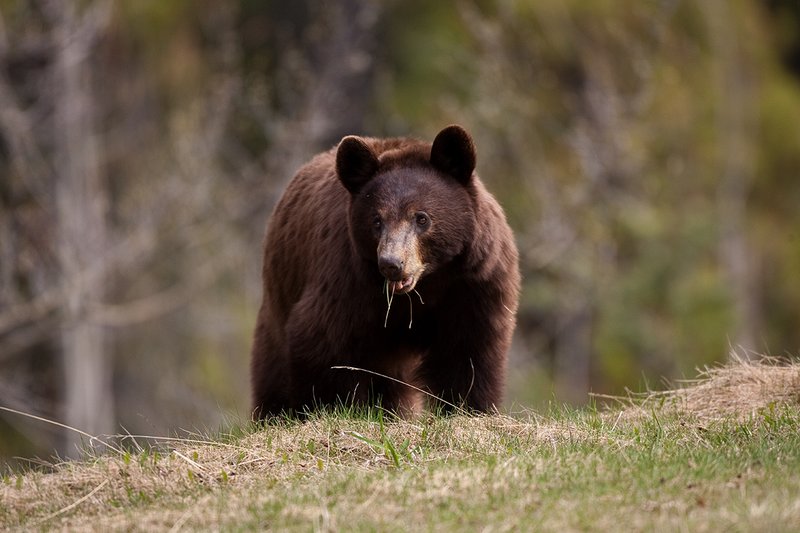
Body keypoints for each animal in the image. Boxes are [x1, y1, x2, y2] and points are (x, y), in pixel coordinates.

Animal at [250, 125, 520, 419]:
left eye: (421, 218)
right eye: (376, 220)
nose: (391, 263)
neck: (426, 287)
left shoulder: (474, 284)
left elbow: (468, 350)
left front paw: (468, 407)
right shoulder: (347, 283)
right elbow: (323, 340)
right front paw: (329, 408)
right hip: (279, 301)